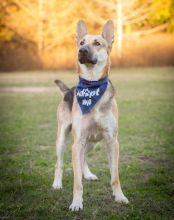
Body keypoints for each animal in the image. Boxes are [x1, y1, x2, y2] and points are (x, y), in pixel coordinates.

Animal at [52, 19, 128, 211]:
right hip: (63, 140)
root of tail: (68, 90)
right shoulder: (77, 141)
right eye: (81, 43)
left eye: (97, 43)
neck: (92, 83)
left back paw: (87, 174)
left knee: (84, 158)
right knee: (59, 163)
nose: (82, 51)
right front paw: (77, 203)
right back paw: (57, 183)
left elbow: (115, 177)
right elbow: (77, 182)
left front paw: (120, 196)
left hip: (93, 142)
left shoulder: (112, 141)